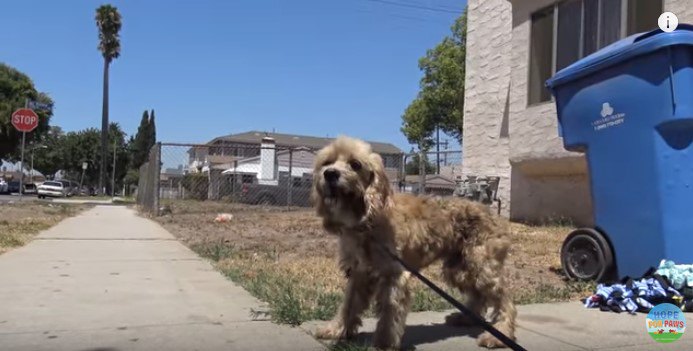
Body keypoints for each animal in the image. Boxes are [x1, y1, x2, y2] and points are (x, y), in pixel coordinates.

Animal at [310, 137, 516, 350]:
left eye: (355, 164)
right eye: (327, 162)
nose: (330, 174)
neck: (365, 222)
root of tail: (491, 214)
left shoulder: (394, 274)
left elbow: (389, 313)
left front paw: (384, 342)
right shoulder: (359, 273)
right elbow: (348, 305)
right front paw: (335, 330)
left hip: (482, 266)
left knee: (505, 300)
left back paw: (498, 334)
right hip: (460, 269)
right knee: (478, 295)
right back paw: (466, 319)